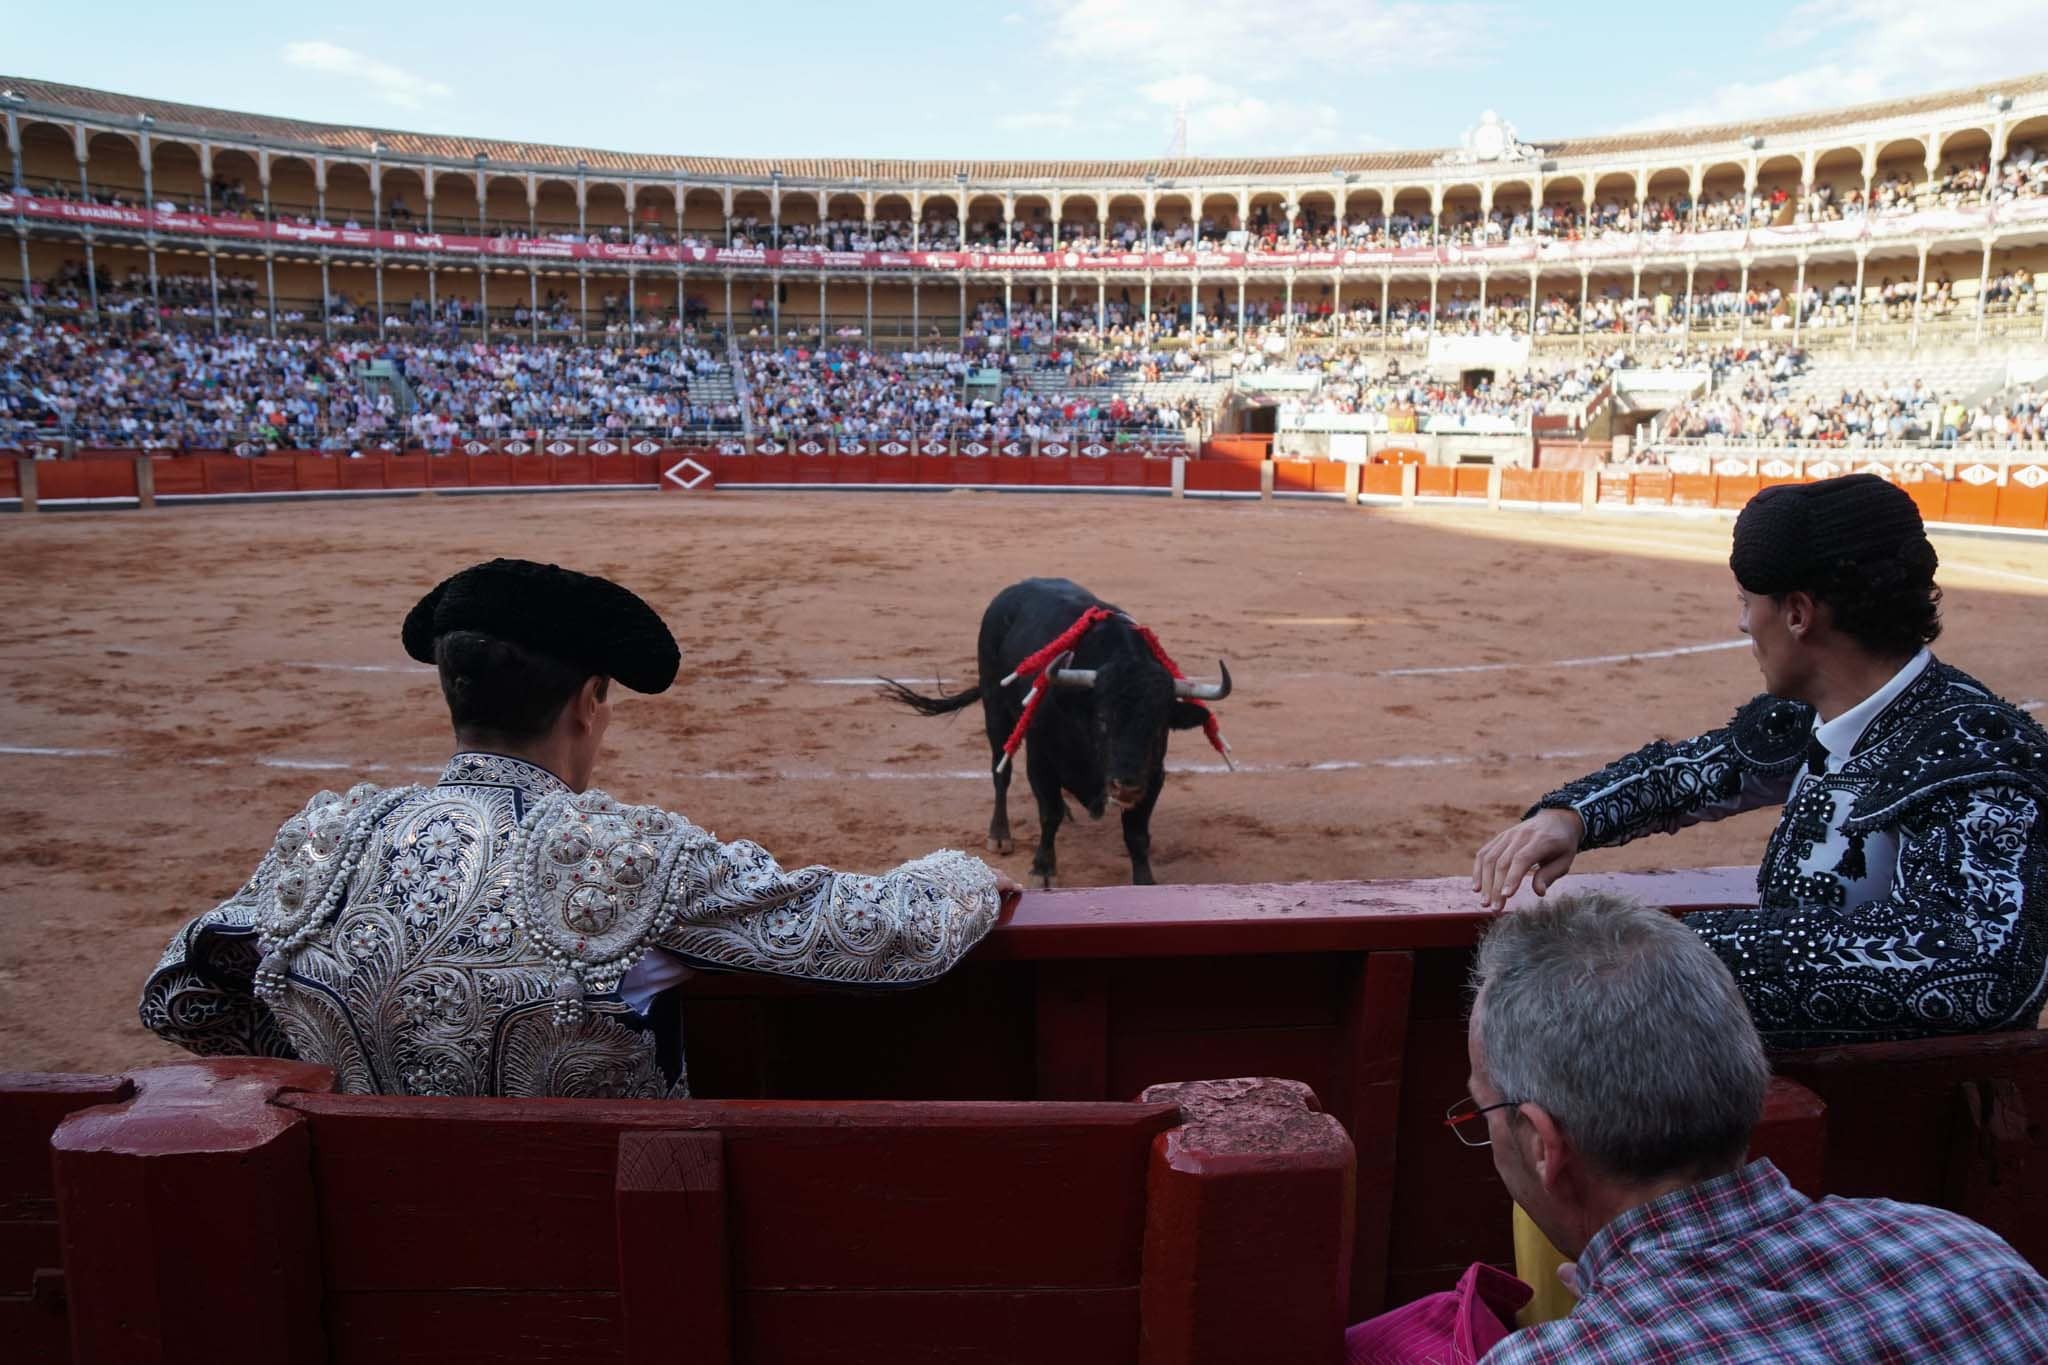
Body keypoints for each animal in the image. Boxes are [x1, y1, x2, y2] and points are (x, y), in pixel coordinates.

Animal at [880, 577, 1228, 888]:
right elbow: (1049, 813)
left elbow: (1137, 833)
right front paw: (1042, 869)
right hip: (995, 710)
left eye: (1159, 725)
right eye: (1102, 718)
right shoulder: (1041, 760)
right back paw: (1000, 835)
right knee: (1000, 773)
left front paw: (1145, 881)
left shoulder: (1153, 774)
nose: (1126, 785)